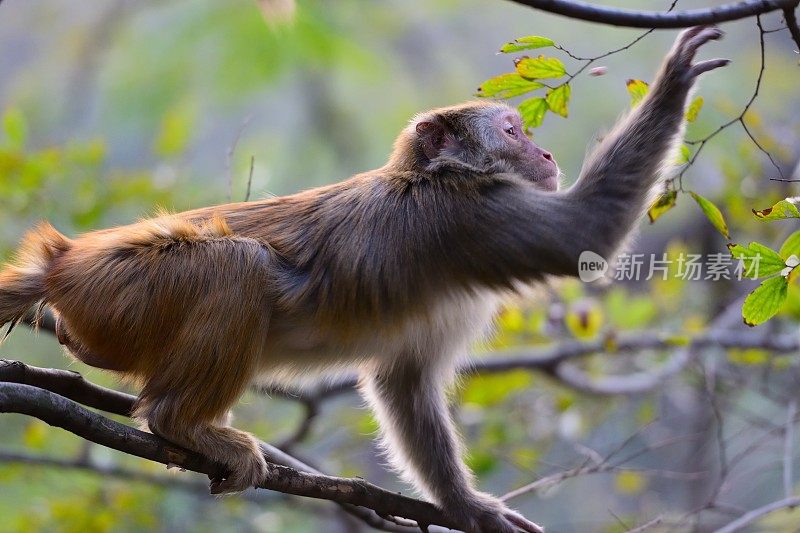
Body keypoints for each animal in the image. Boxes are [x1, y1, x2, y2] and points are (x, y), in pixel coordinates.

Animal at [0, 27, 728, 528]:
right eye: (513, 130)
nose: (546, 154)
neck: (431, 176)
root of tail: (65, 261)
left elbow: (404, 381)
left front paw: (466, 505)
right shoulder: (472, 216)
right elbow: (584, 235)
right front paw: (675, 79)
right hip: (126, 290)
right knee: (238, 266)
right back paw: (181, 422)